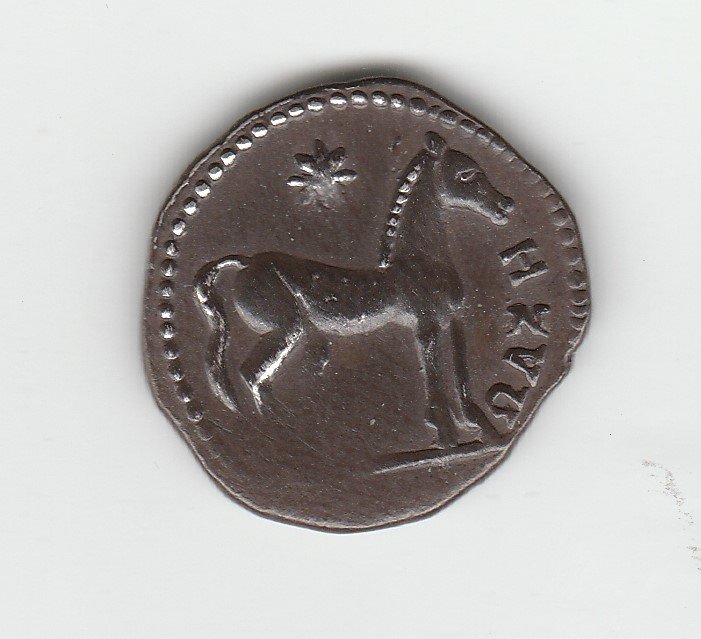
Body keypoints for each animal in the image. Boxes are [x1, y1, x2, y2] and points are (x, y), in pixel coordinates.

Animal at [194, 131, 513, 449]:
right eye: (467, 174)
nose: (506, 205)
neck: (422, 260)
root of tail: (247, 261)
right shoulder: (426, 325)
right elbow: (435, 377)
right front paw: (446, 434)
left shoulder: (454, 319)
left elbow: (460, 375)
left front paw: (479, 428)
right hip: (287, 327)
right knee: (251, 372)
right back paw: (276, 428)